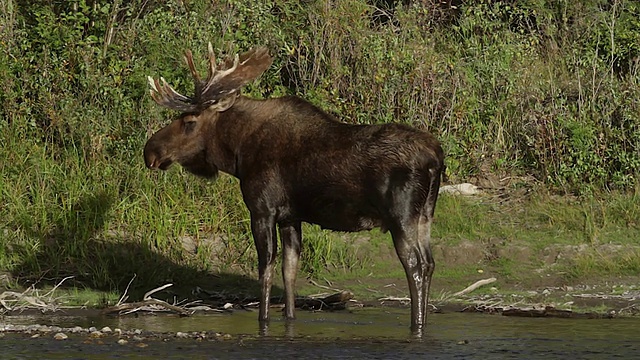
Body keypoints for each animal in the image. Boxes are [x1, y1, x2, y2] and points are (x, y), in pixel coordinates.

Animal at [144, 43, 444, 334]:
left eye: (189, 122)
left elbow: (265, 269)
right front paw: (289, 319)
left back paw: (416, 324)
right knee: (429, 263)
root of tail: (435, 159)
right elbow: (289, 270)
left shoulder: (262, 210)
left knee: (415, 265)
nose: (150, 151)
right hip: (425, 214)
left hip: (401, 216)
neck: (238, 153)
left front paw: (263, 321)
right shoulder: (290, 217)